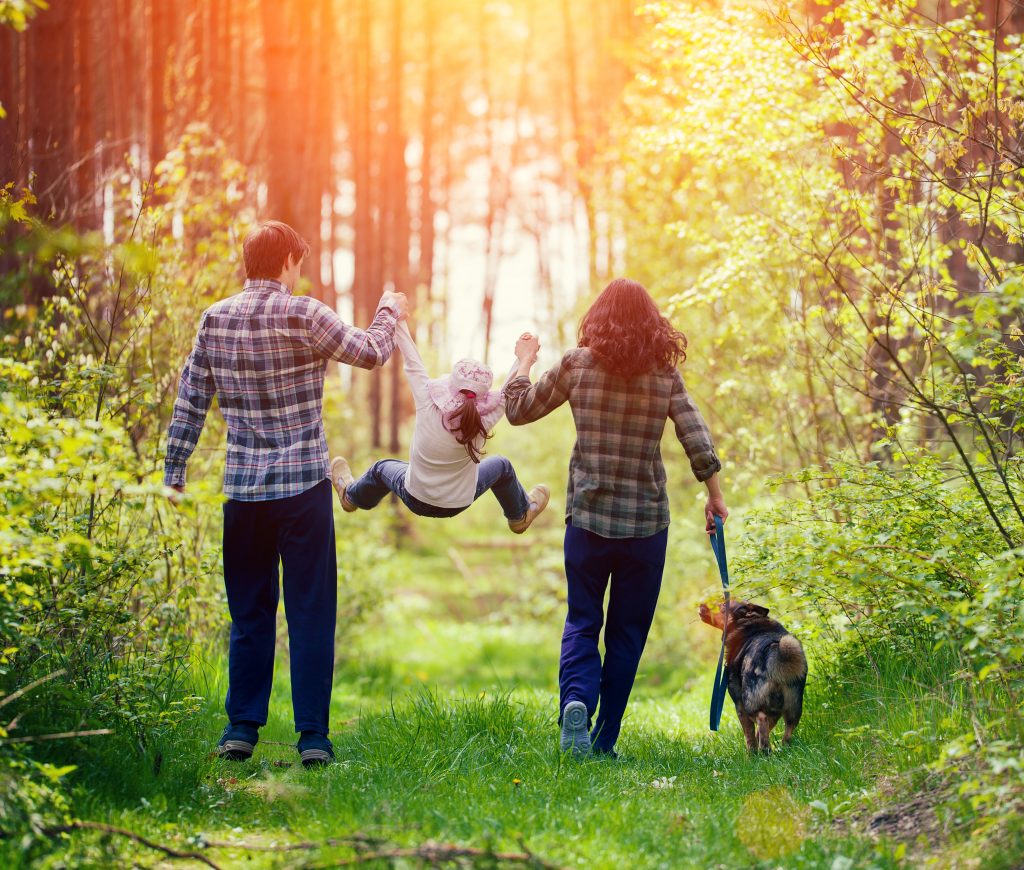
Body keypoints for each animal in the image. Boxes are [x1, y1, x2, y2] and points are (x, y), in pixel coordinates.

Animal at [696, 601, 806, 749]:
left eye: (723, 604)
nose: (701, 604)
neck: (747, 624)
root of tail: (775, 651)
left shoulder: (739, 704)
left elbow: (749, 736)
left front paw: (752, 753)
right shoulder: (775, 712)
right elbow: (760, 732)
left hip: (750, 703)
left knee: (761, 720)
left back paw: (765, 751)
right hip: (793, 709)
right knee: (787, 732)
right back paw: (783, 749)